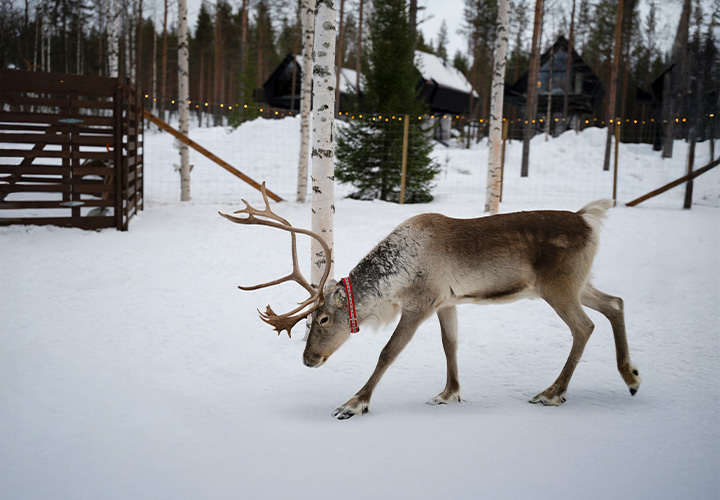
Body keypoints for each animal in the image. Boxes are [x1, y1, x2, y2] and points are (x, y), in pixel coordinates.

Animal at [220, 185, 641, 420]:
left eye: (321, 320)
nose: (308, 360)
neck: (396, 277)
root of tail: (589, 219)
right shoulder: (446, 302)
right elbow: (449, 344)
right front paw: (449, 393)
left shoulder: (420, 303)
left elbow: (388, 353)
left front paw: (354, 403)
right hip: (578, 282)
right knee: (616, 303)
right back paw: (631, 377)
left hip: (559, 286)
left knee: (585, 326)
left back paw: (552, 393)